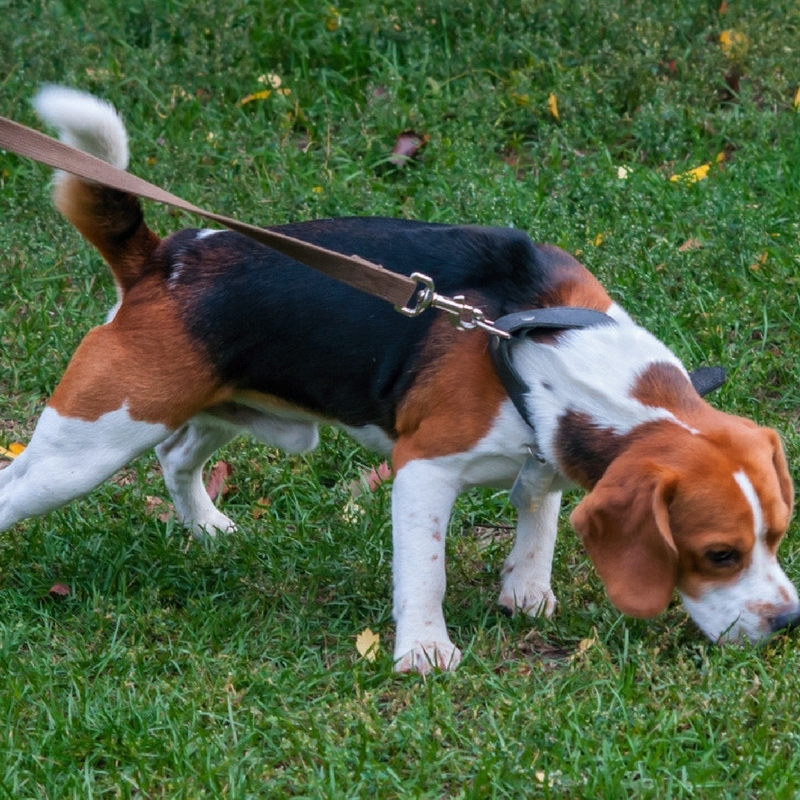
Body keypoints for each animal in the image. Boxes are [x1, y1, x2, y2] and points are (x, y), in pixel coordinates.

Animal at [3, 86, 796, 676]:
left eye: (778, 537)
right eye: (718, 554)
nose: (788, 621)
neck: (554, 351)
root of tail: (162, 260)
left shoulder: (544, 452)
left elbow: (538, 517)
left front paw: (526, 589)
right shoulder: (424, 469)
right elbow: (428, 571)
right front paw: (423, 650)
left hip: (216, 411)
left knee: (176, 458)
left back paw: (209, 528)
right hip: (90, 443)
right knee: (20, 487)